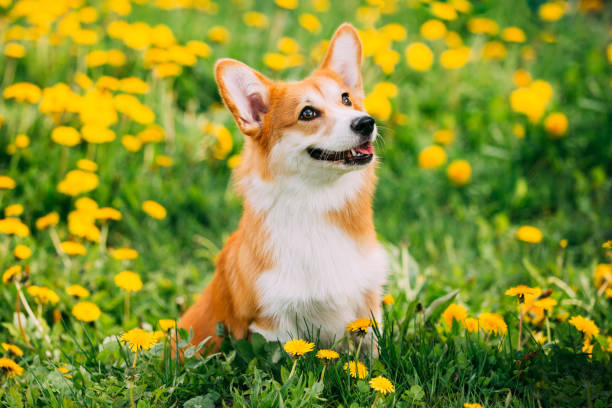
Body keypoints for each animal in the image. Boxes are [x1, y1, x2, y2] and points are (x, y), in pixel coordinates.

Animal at [178, 23, 388, 350]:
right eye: (307, 113)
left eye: (346, 99)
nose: (366, 122)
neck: (316, 202)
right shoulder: (274, 322)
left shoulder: (367, 305)